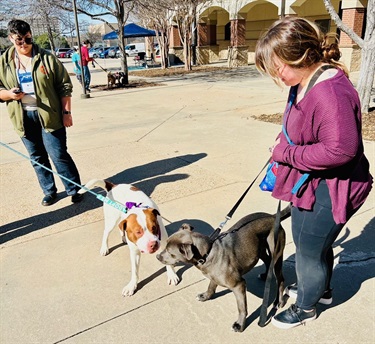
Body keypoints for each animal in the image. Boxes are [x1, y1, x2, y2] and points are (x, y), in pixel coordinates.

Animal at [157, 206, 292, 332]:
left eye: (170, 252)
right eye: (165, 244)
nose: (157, 256)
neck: (207, 254)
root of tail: (273, 217)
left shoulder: (239, 285)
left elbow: (242, 307)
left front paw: (240, 324)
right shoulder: (213, 275)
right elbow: (211, 285)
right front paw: (206, 296)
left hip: (276, 254)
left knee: (280, 278)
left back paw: (278, 301)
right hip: (260, 250)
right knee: (268, 261)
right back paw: (265, 275)